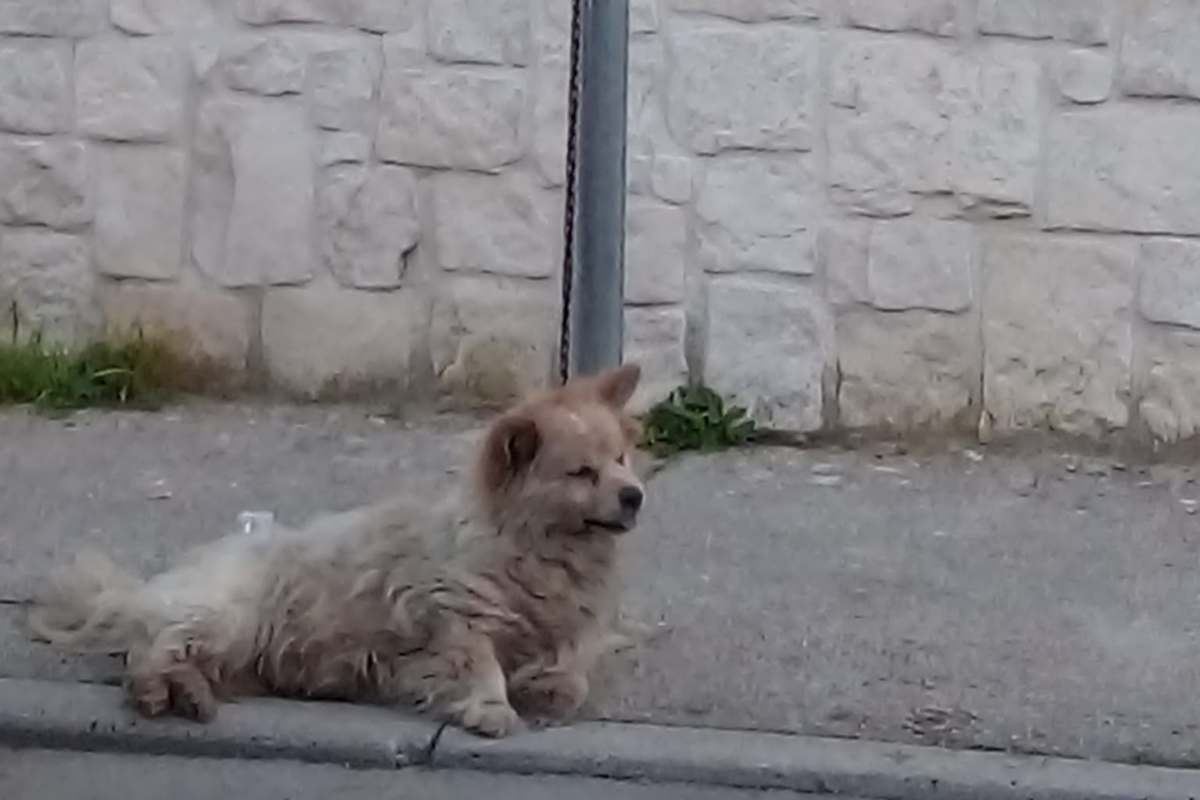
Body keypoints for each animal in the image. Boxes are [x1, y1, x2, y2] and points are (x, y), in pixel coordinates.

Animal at [28, 362, 648, 738]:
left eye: (621, 459)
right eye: (582, 472)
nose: (635, 495)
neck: (536, 551)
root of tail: (151, 587)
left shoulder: (561, 629)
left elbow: (569, 671)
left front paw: (549, 687)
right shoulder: (452, 620)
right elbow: (477, 665)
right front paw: (492, 707)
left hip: (237, 652)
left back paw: (194, 695)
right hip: (228, 619)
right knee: (151, 653)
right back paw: (159, 691)